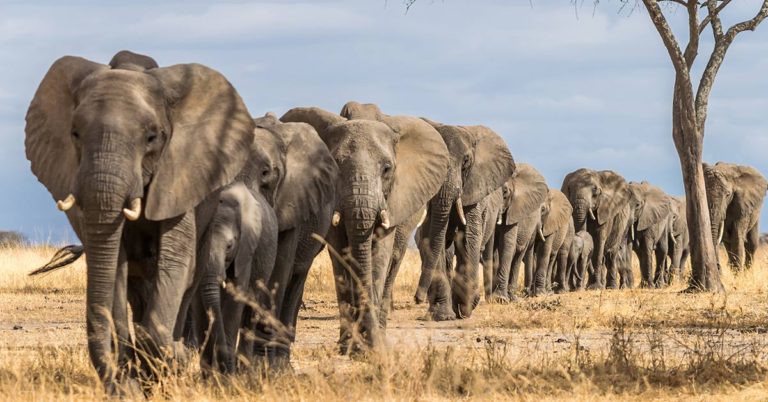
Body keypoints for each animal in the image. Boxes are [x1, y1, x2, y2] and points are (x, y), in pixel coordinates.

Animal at [25, 51, 254, 393]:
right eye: (75, 134)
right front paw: (131, 384)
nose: (115, 384)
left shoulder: (179, 176)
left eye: (151, 137)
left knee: (188, 280)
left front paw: (171, 359)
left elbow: (175, 262)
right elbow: (114, 267)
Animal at [281, 103, 449, 353]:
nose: (369, 345)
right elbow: (341, 256)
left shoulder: (394, 199)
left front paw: (371, 345)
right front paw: (349, 346)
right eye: (334, 165)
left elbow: (380, 255)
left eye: (387, 169)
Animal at [411, 118, 516, 320]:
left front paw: (466, 307)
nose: (417, 299)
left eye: (466, 161)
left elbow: (468, 238)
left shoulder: (475, 190)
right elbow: (433, 239)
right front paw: (443, 315)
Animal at [491, 163, 548, 302]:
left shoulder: (514, 209)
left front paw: (500, 299)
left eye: (505, 192)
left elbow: (507, 244)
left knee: (518, 254)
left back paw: (512, 298)